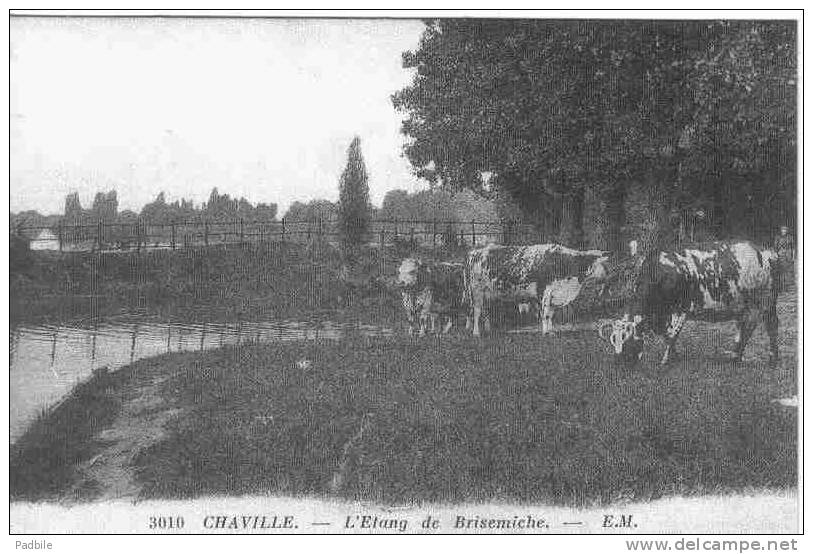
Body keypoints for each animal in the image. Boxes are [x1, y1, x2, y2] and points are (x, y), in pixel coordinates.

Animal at [464, 240, 608, 334]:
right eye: (601, 264)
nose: (608, 277)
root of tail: (475, 251)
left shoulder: (553, 295)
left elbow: (550, 314)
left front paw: (551, 331)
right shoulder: (544, 292)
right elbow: (545, 314)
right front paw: (545, 332)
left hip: (487, 293)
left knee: (485, 310)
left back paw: (487, 329)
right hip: (476, 290)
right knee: (476, 311)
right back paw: (476, 333)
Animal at [596, 239, 780, 364]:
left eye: (626, 340)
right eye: (614, 339)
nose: (618, 362)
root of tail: (765, 250)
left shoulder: (681, 309)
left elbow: (671, 334)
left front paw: (666, 360)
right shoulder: (663, 313)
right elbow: (666, 334)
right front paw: (674, 355)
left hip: (767, 300)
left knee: (771, 325)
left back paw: (772, 359)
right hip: (743, 303)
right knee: (746, 326)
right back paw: (736, 356)